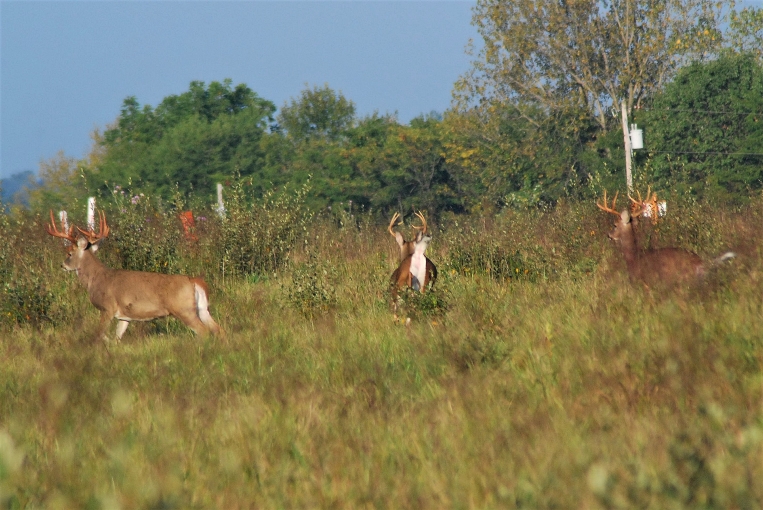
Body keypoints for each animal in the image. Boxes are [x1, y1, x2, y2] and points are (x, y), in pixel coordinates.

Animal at [46, 211, 222, 342]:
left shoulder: (108, 307)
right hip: (202, 308)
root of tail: (194, 281)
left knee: (204, 331)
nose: (62, 265)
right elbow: (116, 338)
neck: (95, 279)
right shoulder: (125, 316)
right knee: (218, 329)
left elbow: (99, 335)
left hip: (184, 309)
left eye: (69, 253)